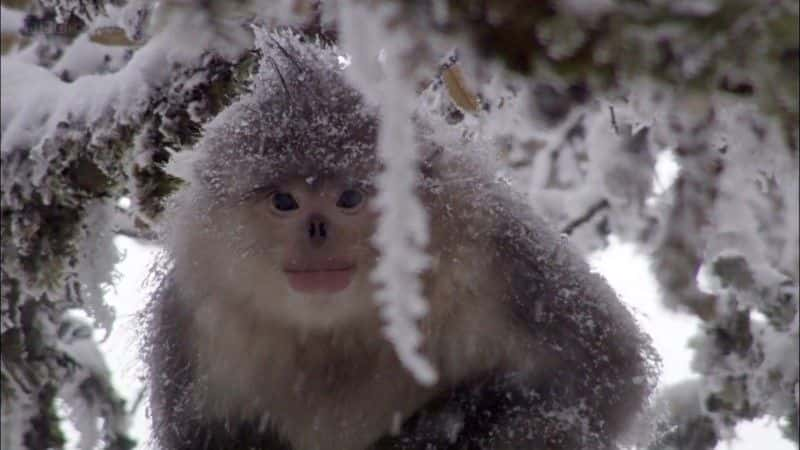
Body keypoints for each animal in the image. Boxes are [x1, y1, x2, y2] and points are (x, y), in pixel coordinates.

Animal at [145, 31, 656, 450]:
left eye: (349, 198)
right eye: (285, 201)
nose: (317, 232)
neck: (337, 332)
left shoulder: (501, 255)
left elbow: (605, 373)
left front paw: (444, 425)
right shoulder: (188, 321)